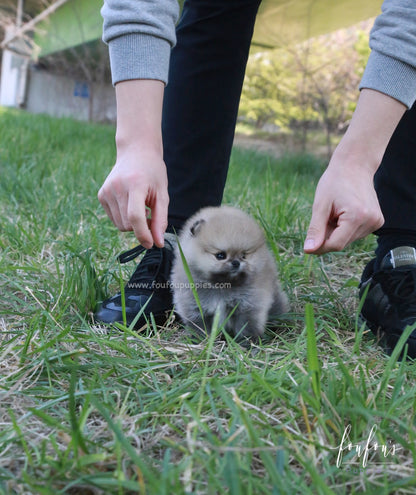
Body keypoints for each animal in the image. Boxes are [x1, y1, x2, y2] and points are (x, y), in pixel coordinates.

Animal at [171, 207, 288, 342]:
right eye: (220, 255)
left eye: (244, 256)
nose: (236, 263)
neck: (222, 287)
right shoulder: (194, 306)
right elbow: (200, 325)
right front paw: (202, 339)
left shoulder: (248, 305)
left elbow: (247, 326)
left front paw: (247, 342)